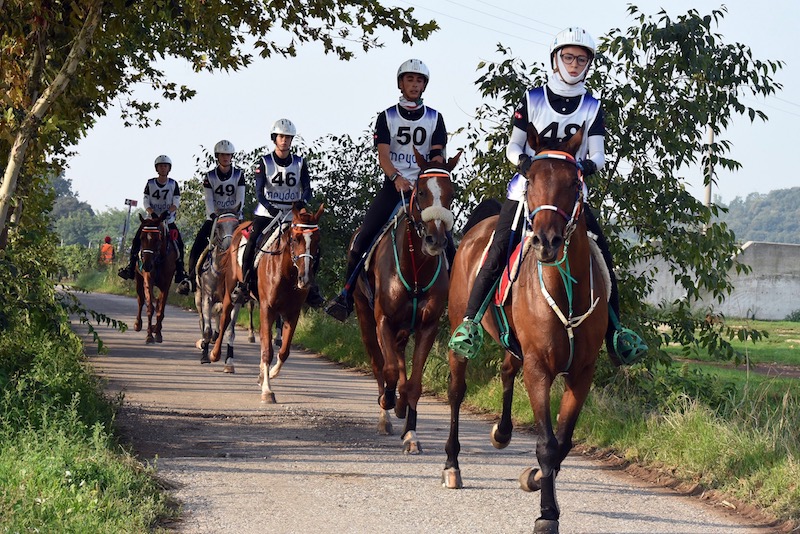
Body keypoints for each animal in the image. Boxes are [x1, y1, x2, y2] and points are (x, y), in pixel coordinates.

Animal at [134, 211, 177, 346]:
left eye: (158, 239)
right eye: (141, 238)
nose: (147, 265)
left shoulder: (166, 285)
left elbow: (160, 309)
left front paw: (158, 334)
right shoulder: (148, 280)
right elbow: (150, 308)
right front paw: (149, 336)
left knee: (157, 303)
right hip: (139, 278)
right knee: (140, 300)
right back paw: (138, 324)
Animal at [196, 209, 242, 372]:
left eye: (237, 225)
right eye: (218, 228)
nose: (229, 246)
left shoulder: (235, 302)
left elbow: (229, 331)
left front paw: (229, 363)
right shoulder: (207, 298)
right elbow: (206, 330)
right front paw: (205, 355)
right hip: (199, 298)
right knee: (202, 321)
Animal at [352, 149, 460, 454]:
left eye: (451, 194)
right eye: (421, 192)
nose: (436, 239)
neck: (415, 268)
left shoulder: (426, 326)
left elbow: (413, 384)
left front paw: (410, 431)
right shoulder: (383, 321)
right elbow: (388, 370)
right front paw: (389, 403)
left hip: (402, 329)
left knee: (398, 361)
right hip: (365, 321)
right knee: (379, 365)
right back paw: (385, 416)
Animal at [444, 126, 608, 534]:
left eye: (574, 182)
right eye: (531, 179)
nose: (546, 242)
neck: (567, 291)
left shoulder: (582, 372)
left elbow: (563, 442)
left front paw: (535, 478)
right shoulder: (539, 369)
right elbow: (547, 443)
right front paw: (547, 513)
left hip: (513, 343)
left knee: (505, 370)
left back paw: (502, 434)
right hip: (459, 333)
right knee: (456, 391)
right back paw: (451, 465)